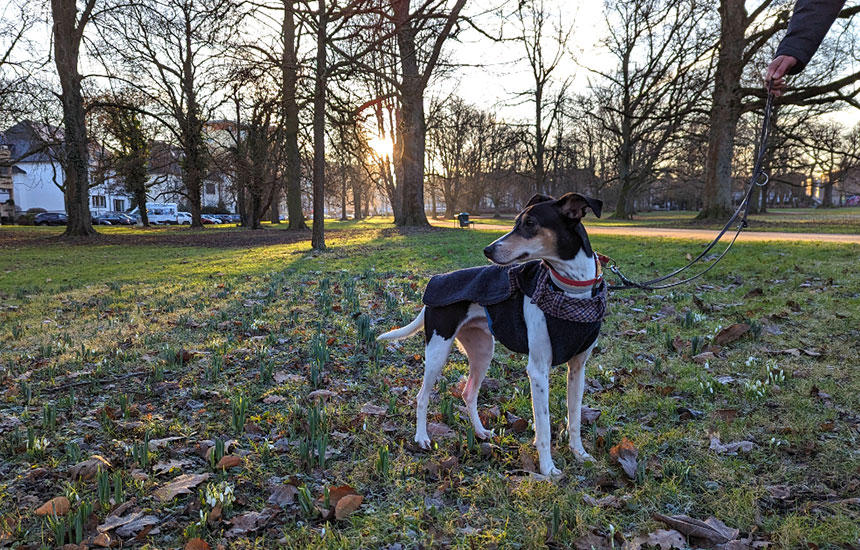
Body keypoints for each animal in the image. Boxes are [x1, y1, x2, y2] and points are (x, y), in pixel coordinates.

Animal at [380, 194, 608, 478]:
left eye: (530, 223)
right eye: (517, 221)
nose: (488, 250)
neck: (571, 292)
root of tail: (434, 284)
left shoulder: (578, 368)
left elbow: (575, 417)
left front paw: (580, 454)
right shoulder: (538, 370)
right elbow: (544, 426)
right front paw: (547, 468)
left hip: (482, 351)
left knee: (468, 393)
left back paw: (479, 432)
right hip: (437, 351)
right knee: (422, 397)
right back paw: (422, 438)